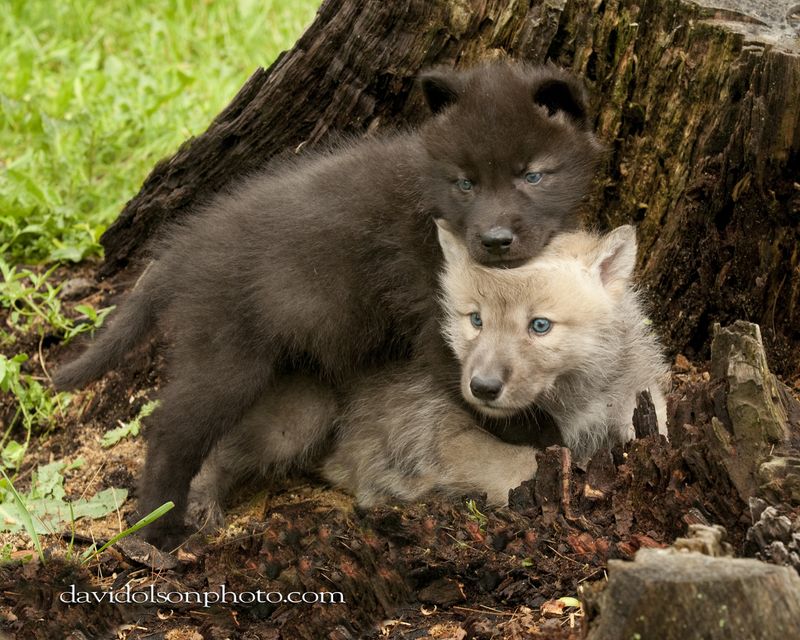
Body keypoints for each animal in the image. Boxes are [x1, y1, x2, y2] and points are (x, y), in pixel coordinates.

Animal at [54, 62, 601, 547]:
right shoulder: (431, 318)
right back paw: (154, 529)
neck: (430, 198)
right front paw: (543, 434)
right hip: (225, 357)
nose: (495, 240)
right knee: (170, 432)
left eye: (532, 176)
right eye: (465, 182)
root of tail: (181, 249)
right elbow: (478, 395)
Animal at [187, 222, 667, 523]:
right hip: (304, 415)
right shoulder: (451, 437)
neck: (570, 398)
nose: (482, 388)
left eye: (540, 326)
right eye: (476, 320)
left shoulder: (637, 396)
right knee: (215, 447)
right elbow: (525, 467)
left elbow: (658, 428)